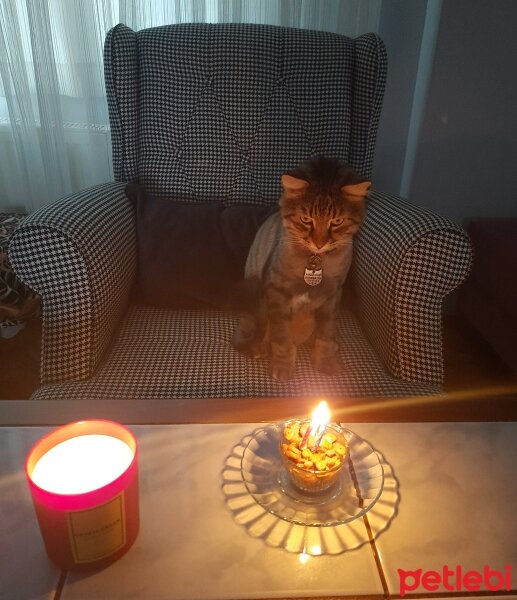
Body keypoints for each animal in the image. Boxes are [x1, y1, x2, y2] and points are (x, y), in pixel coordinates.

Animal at [232, 155, 368, 380]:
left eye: (337, 221)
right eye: (306, 219)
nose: (319, 243)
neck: (315, 260)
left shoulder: (333, 295)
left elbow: (325, 334)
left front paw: (326, 360)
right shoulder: (277, 292)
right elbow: (282, 337)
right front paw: (283, 365)